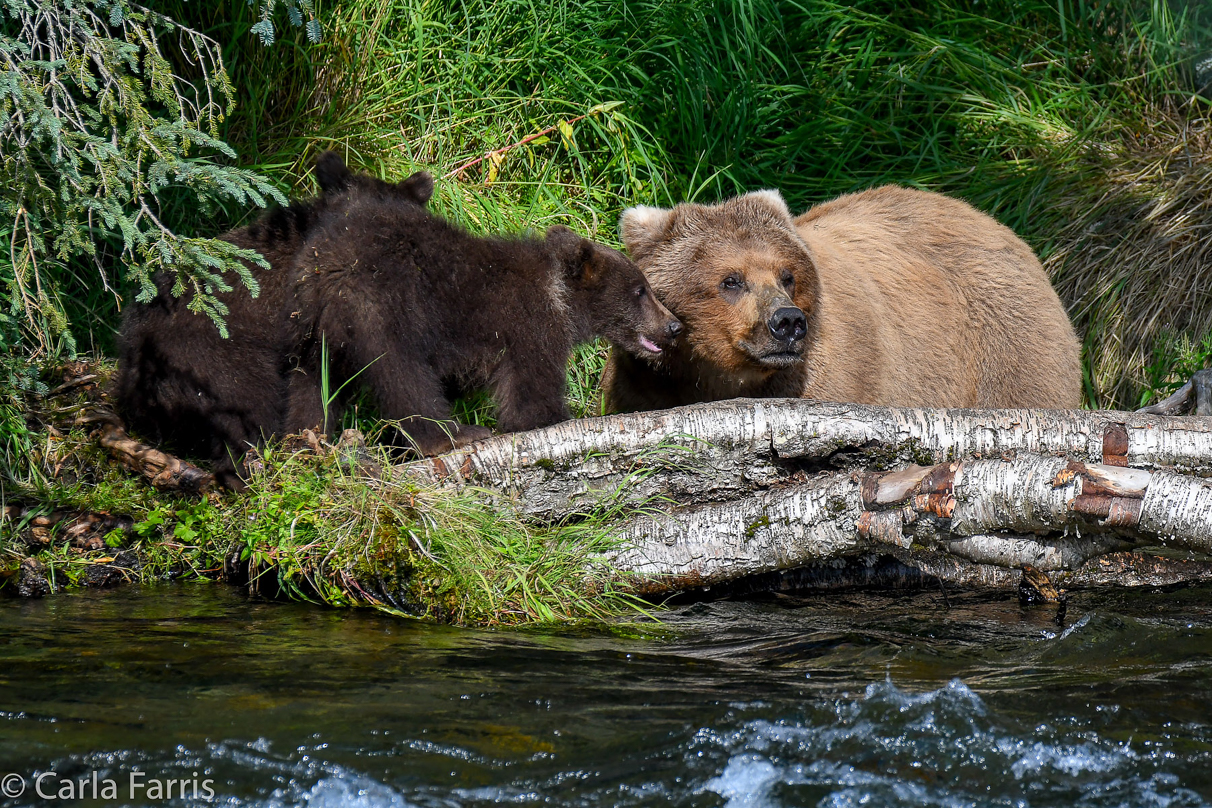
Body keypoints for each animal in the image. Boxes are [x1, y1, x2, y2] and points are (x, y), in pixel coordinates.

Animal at [601, 186, 1085, 414]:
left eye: (788, 275)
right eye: (731, 281)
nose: (788, 322)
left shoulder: (832, 374)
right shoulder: (646, 382)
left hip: (1005, 345)